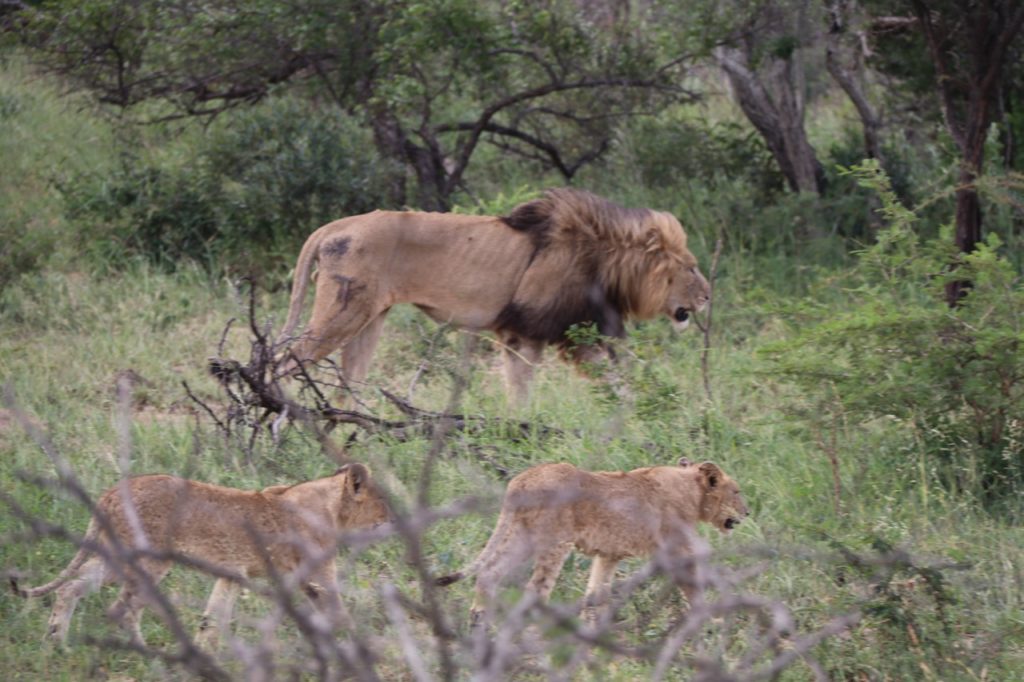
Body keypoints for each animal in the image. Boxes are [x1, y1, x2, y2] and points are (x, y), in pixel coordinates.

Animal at [9, 462, 389, 643]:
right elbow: (340, 615)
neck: (332, 509)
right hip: (150, 561)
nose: (392, 521)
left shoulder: (233, 575)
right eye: (383, 503)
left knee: (71, 588)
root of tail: (111, 492)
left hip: (115, 558)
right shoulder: (318, 577)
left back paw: (55, 641)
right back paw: (149, 655)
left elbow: (212, 621)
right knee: (121, 610)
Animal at [280, 187, 712, 399]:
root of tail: (334, 225)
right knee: (286, 362)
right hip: (342, 314)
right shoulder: (535, 333)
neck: (605, 263)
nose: (709, 296)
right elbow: (523, 393)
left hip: (369, 320)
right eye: (691, 267)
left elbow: (614, 387)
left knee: (348, 385)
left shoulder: (556, 335)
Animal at [436, 456, 749, 622]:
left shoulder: (608, 554)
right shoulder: (675, 548)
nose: (747, 512)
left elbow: (595, 596)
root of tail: (520, 480)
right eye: (737, 491)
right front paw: (710, 620)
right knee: (536, 589)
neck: (692, 493)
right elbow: (693, 587)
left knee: (490, 572)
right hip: (554, 542)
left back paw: (478, 622)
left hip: (523, 535)